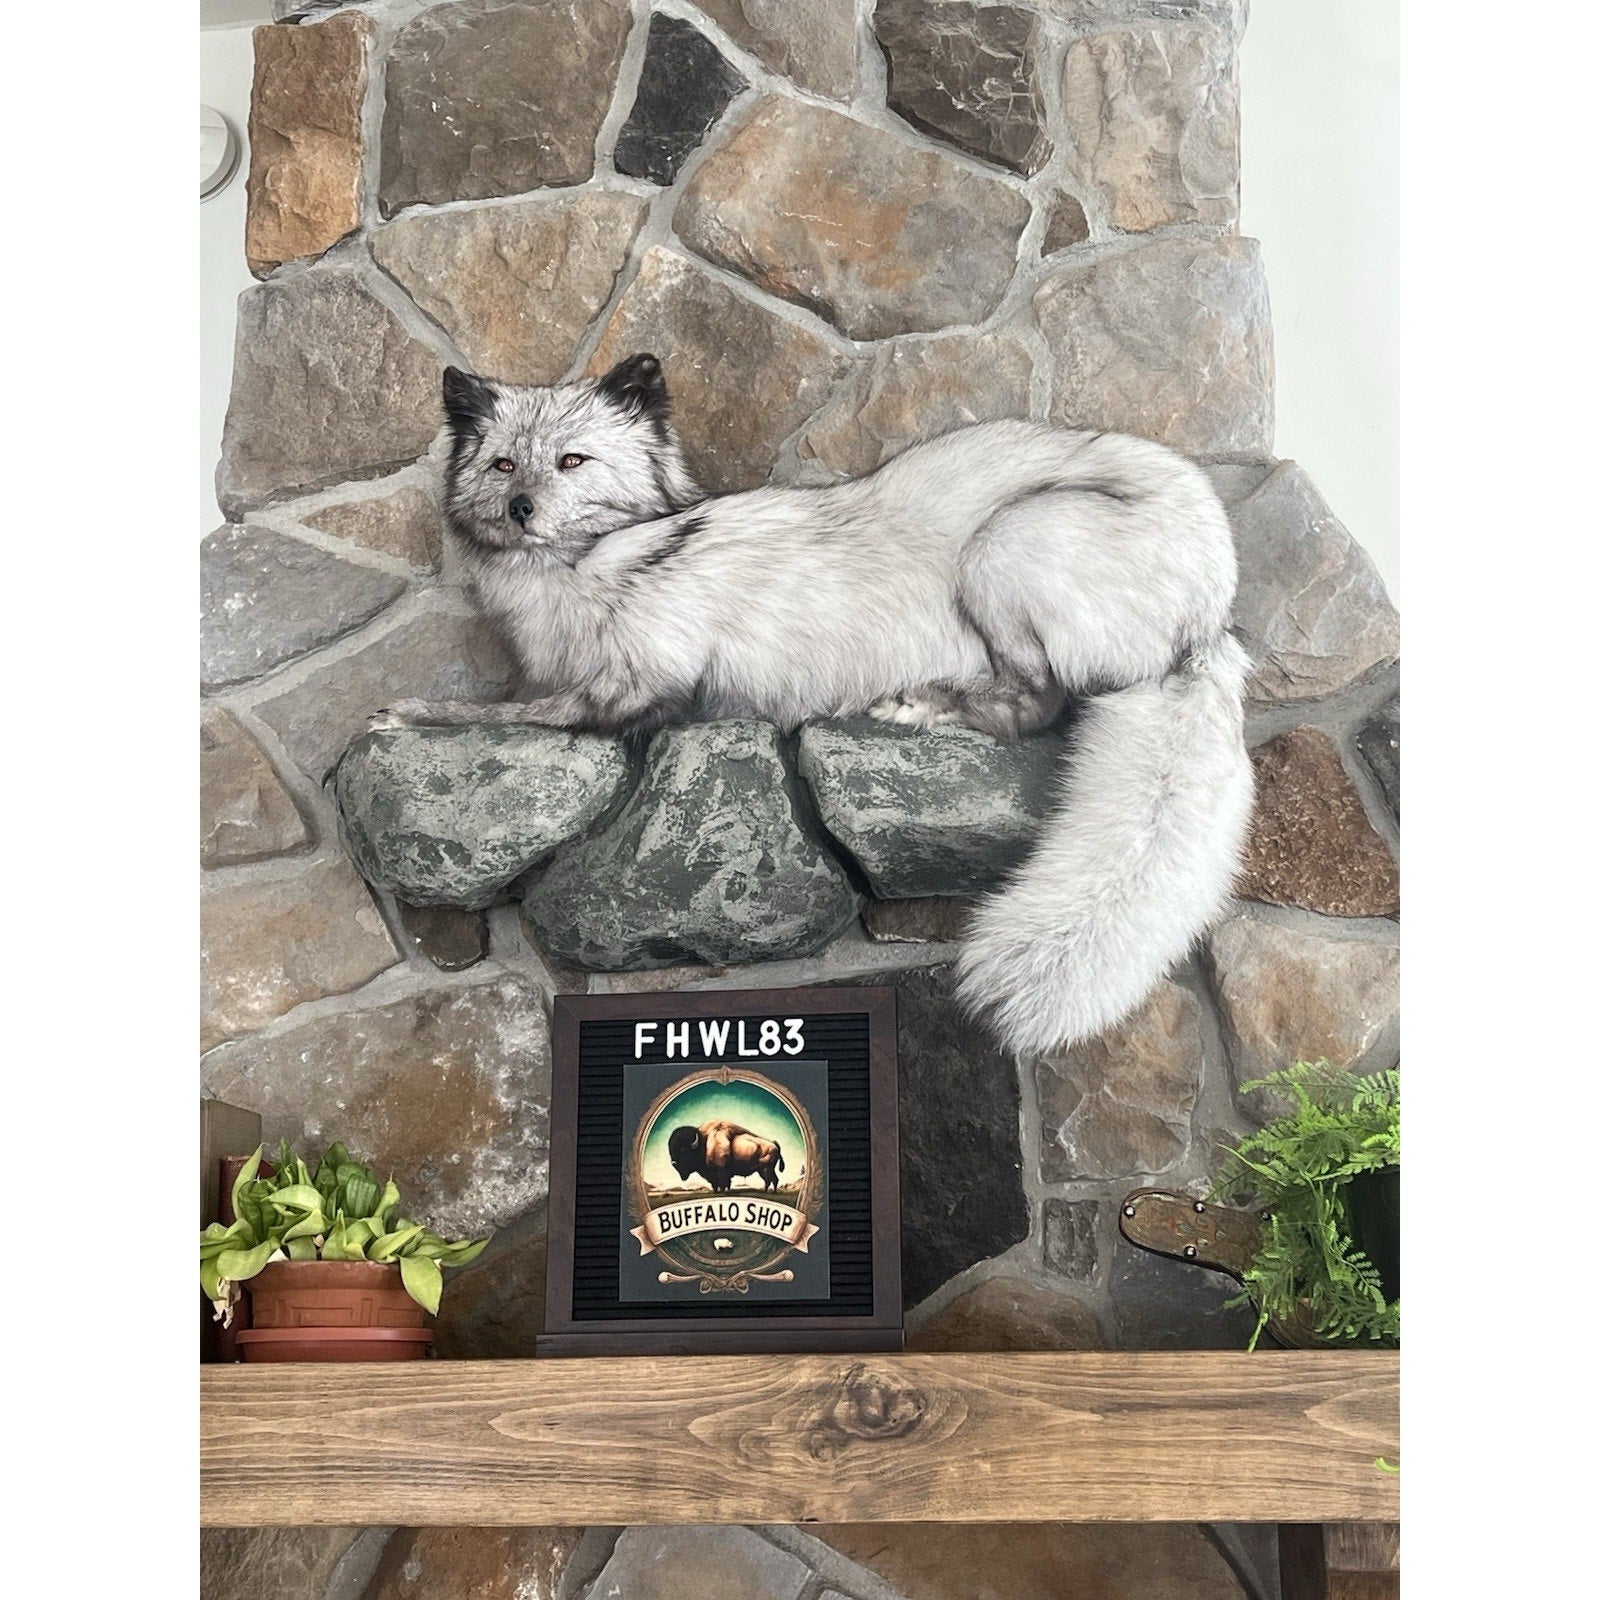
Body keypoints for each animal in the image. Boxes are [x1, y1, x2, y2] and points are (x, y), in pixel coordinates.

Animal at [372, 353, 1254, 1057]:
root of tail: (1212, 613)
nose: (521, 509)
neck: (579, 576)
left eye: (571, 460)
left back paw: (925, 706)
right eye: (502, 465)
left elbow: (500, 711)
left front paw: (404, 712)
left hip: (1009, 542)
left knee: (1036, 704)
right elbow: (510, 699)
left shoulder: (631, 692)